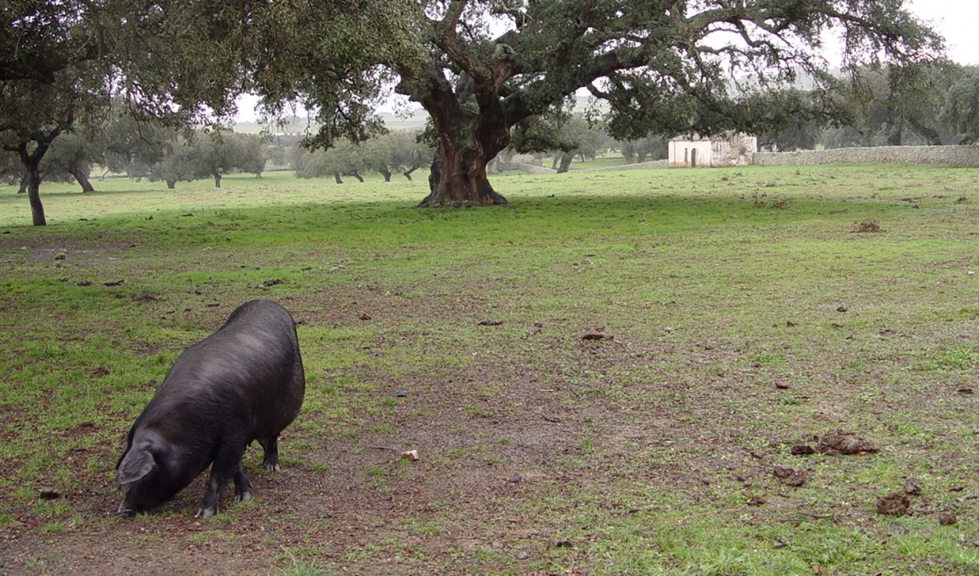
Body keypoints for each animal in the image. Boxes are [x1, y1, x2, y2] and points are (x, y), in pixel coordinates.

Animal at [116, 302, 304, 516]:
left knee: (271, 439)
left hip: (281, 410)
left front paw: (204, 513)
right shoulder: (234, 439)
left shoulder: (234, 431)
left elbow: (218, 473)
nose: (121, 509)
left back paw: (271, 468)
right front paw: (242, 498)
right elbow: (235, 465)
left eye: (147, 474)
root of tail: (270, 302)